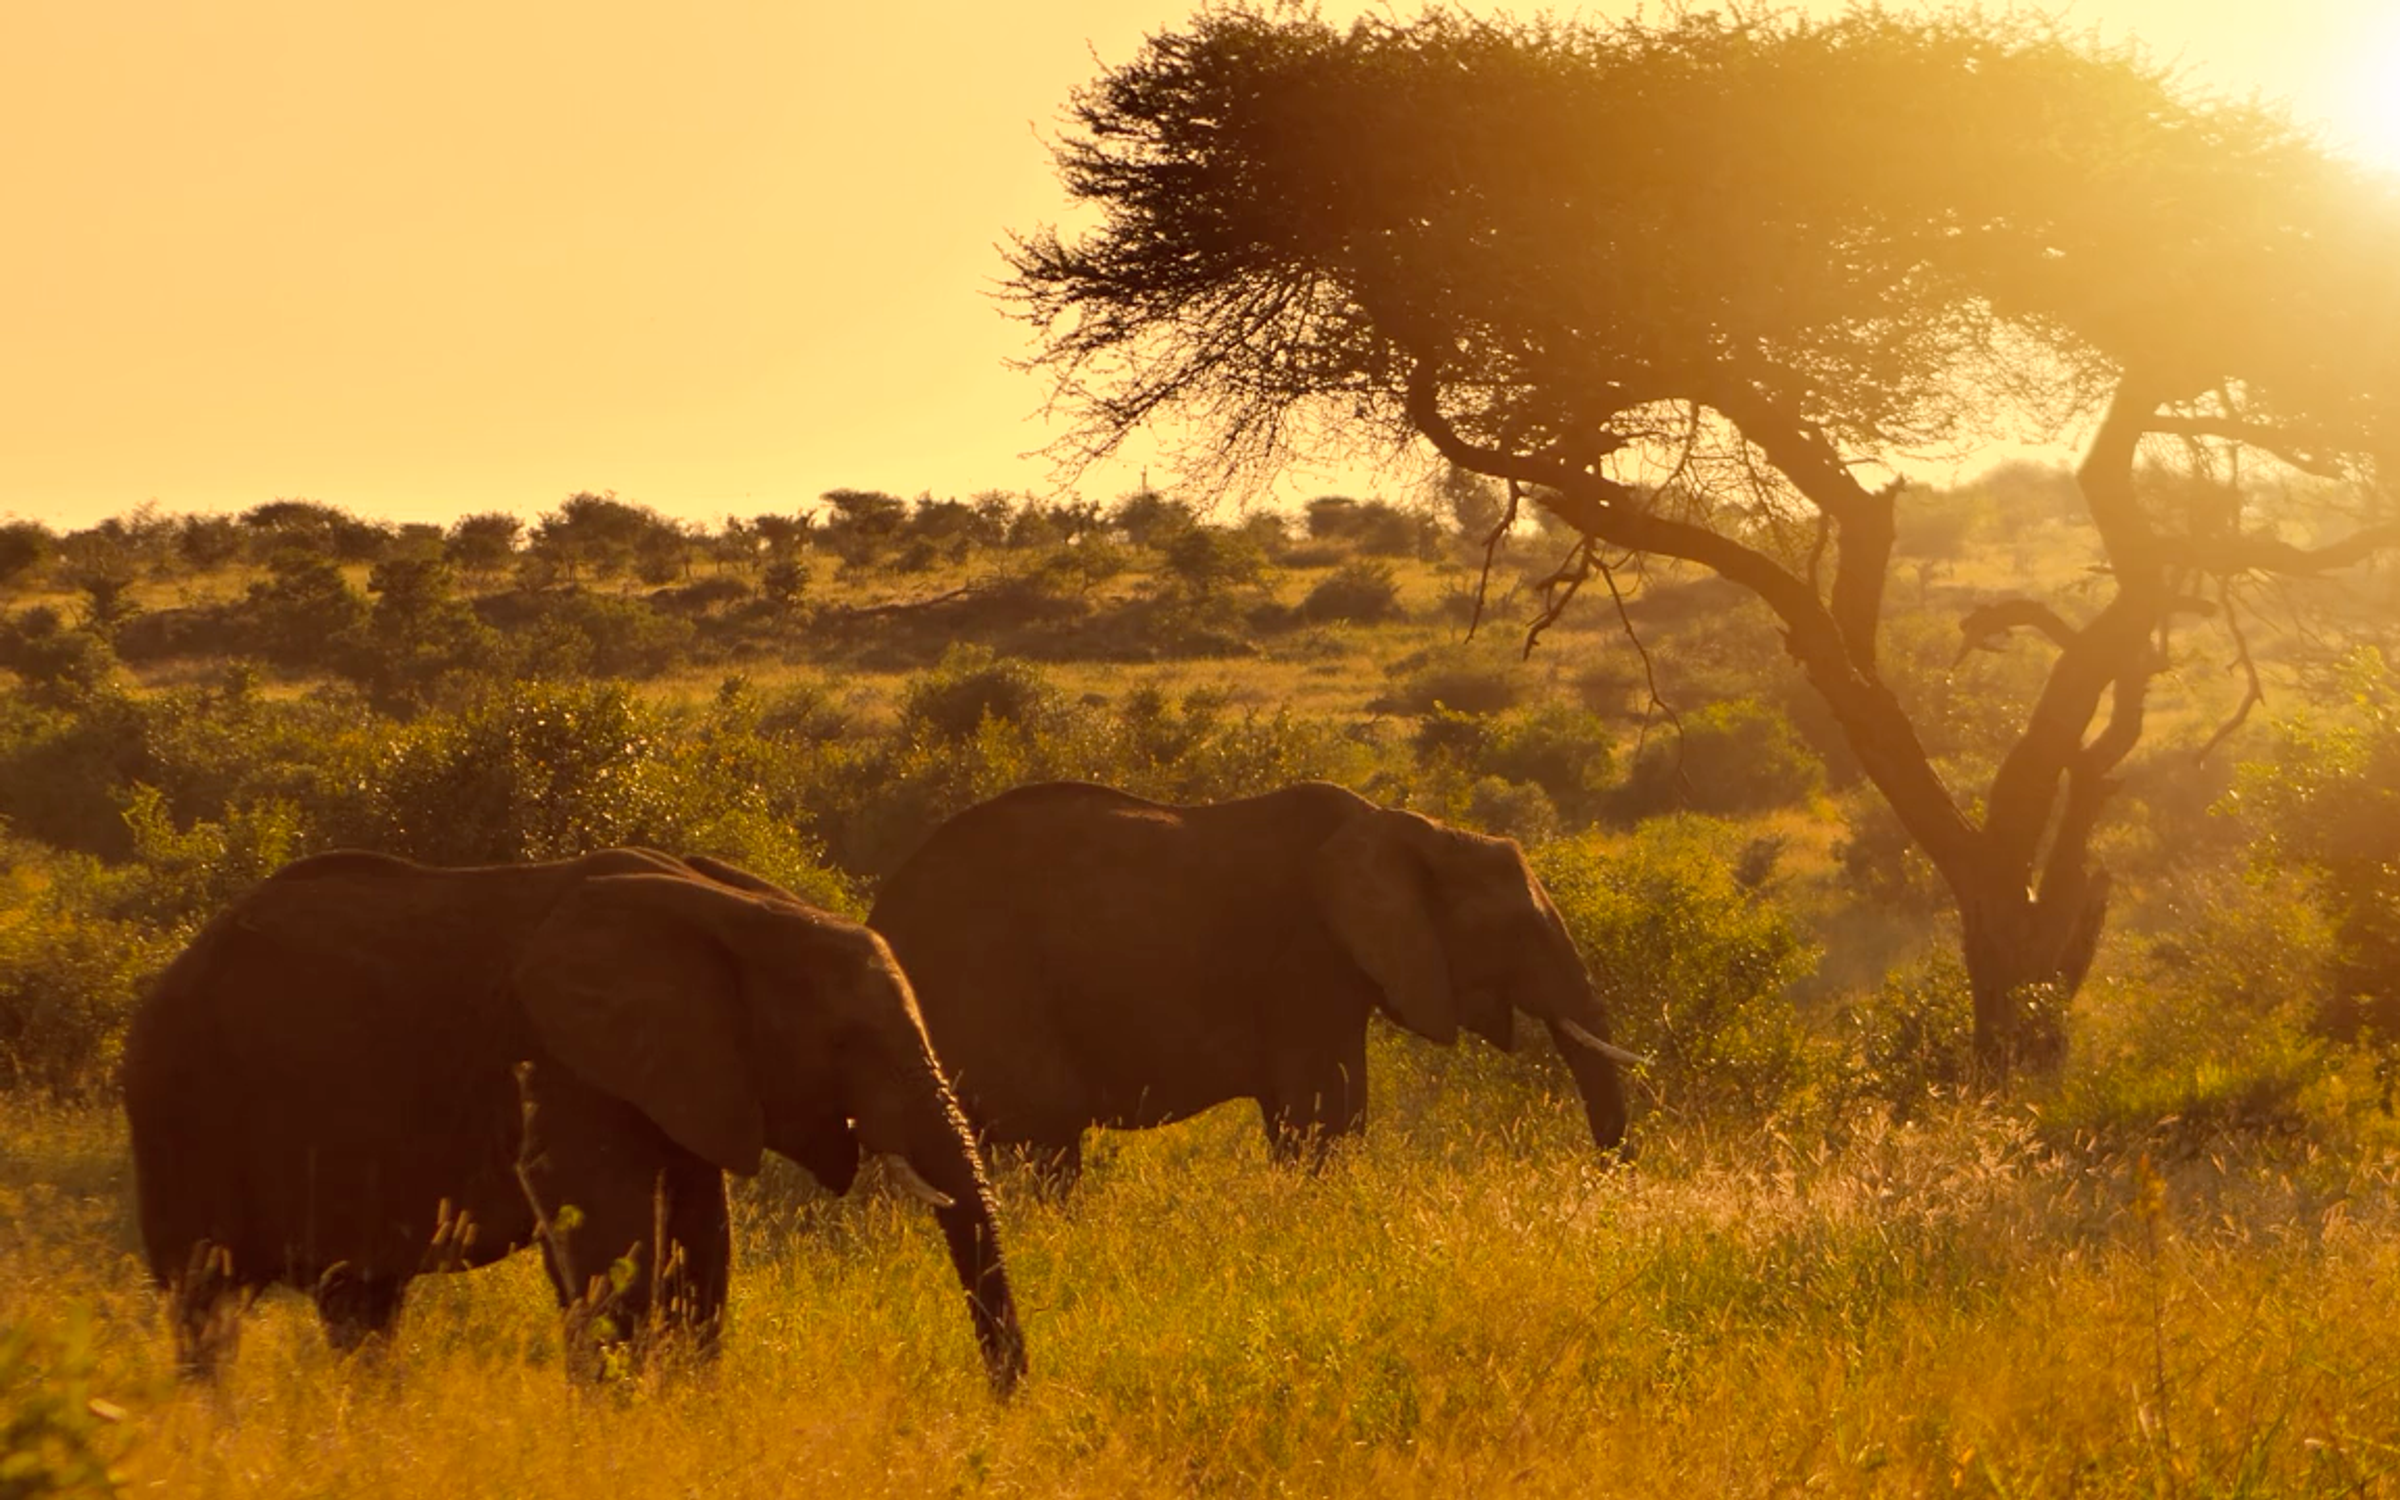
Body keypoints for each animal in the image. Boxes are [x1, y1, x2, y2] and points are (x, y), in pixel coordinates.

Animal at [122, 847, 1026, 1393]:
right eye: (849, 1043)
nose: (1003, 1404)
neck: (731, 909)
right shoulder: (560, 1064)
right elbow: (612, 1248)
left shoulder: (683, 1078)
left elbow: (699, 1251)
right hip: (180, 1109)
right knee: (207, 1306)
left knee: (360, 1305)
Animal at [866, 780, 1644, 1185]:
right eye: (1517, 929)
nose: (1606, 1183)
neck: (1413, 827)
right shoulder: (1308, 961)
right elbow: (1323, 1115)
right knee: (1046, 1136)